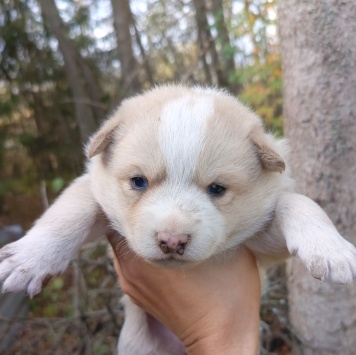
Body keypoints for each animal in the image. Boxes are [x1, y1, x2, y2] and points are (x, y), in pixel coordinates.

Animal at [0, 85, 356, 354]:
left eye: (217, 189)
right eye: (138, 182)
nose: (172, 241)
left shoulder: (262, 241)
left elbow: (298, 203)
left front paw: (332, 251)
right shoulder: (94, 190)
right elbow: (69, 210)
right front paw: (29, 260)